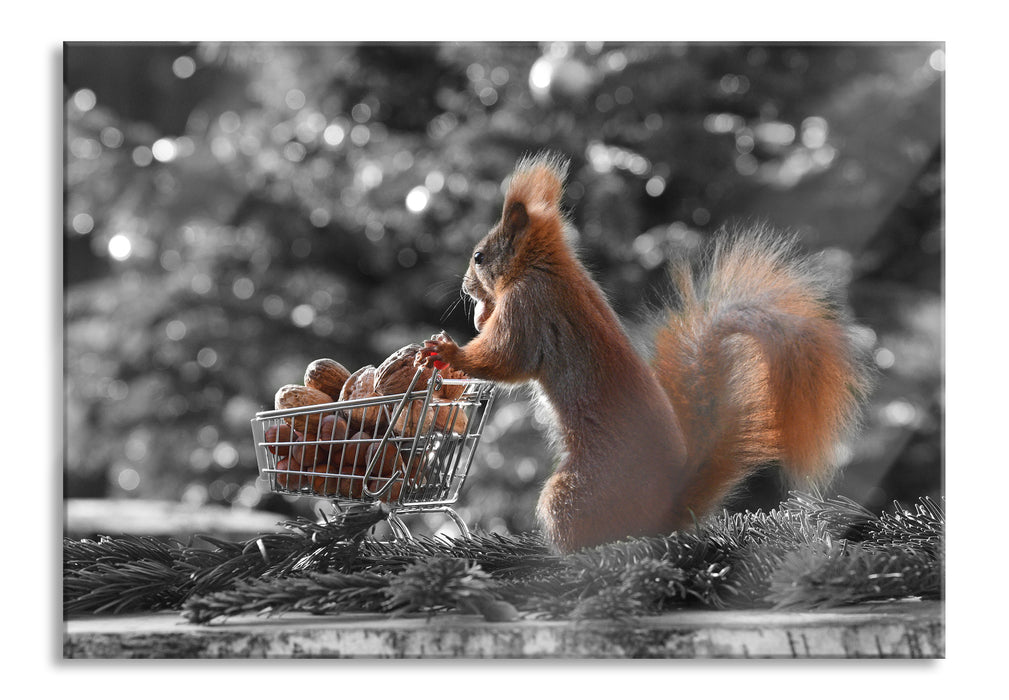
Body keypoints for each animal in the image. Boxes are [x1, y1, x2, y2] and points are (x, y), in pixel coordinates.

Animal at [420, 152, 874, 554]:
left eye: (479, 257)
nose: (465, 288)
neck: (544, 267)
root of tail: (664, 513)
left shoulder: (529, 307)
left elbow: (505, 358)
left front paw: (450, 352)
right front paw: (480, 317)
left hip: (574, 493)